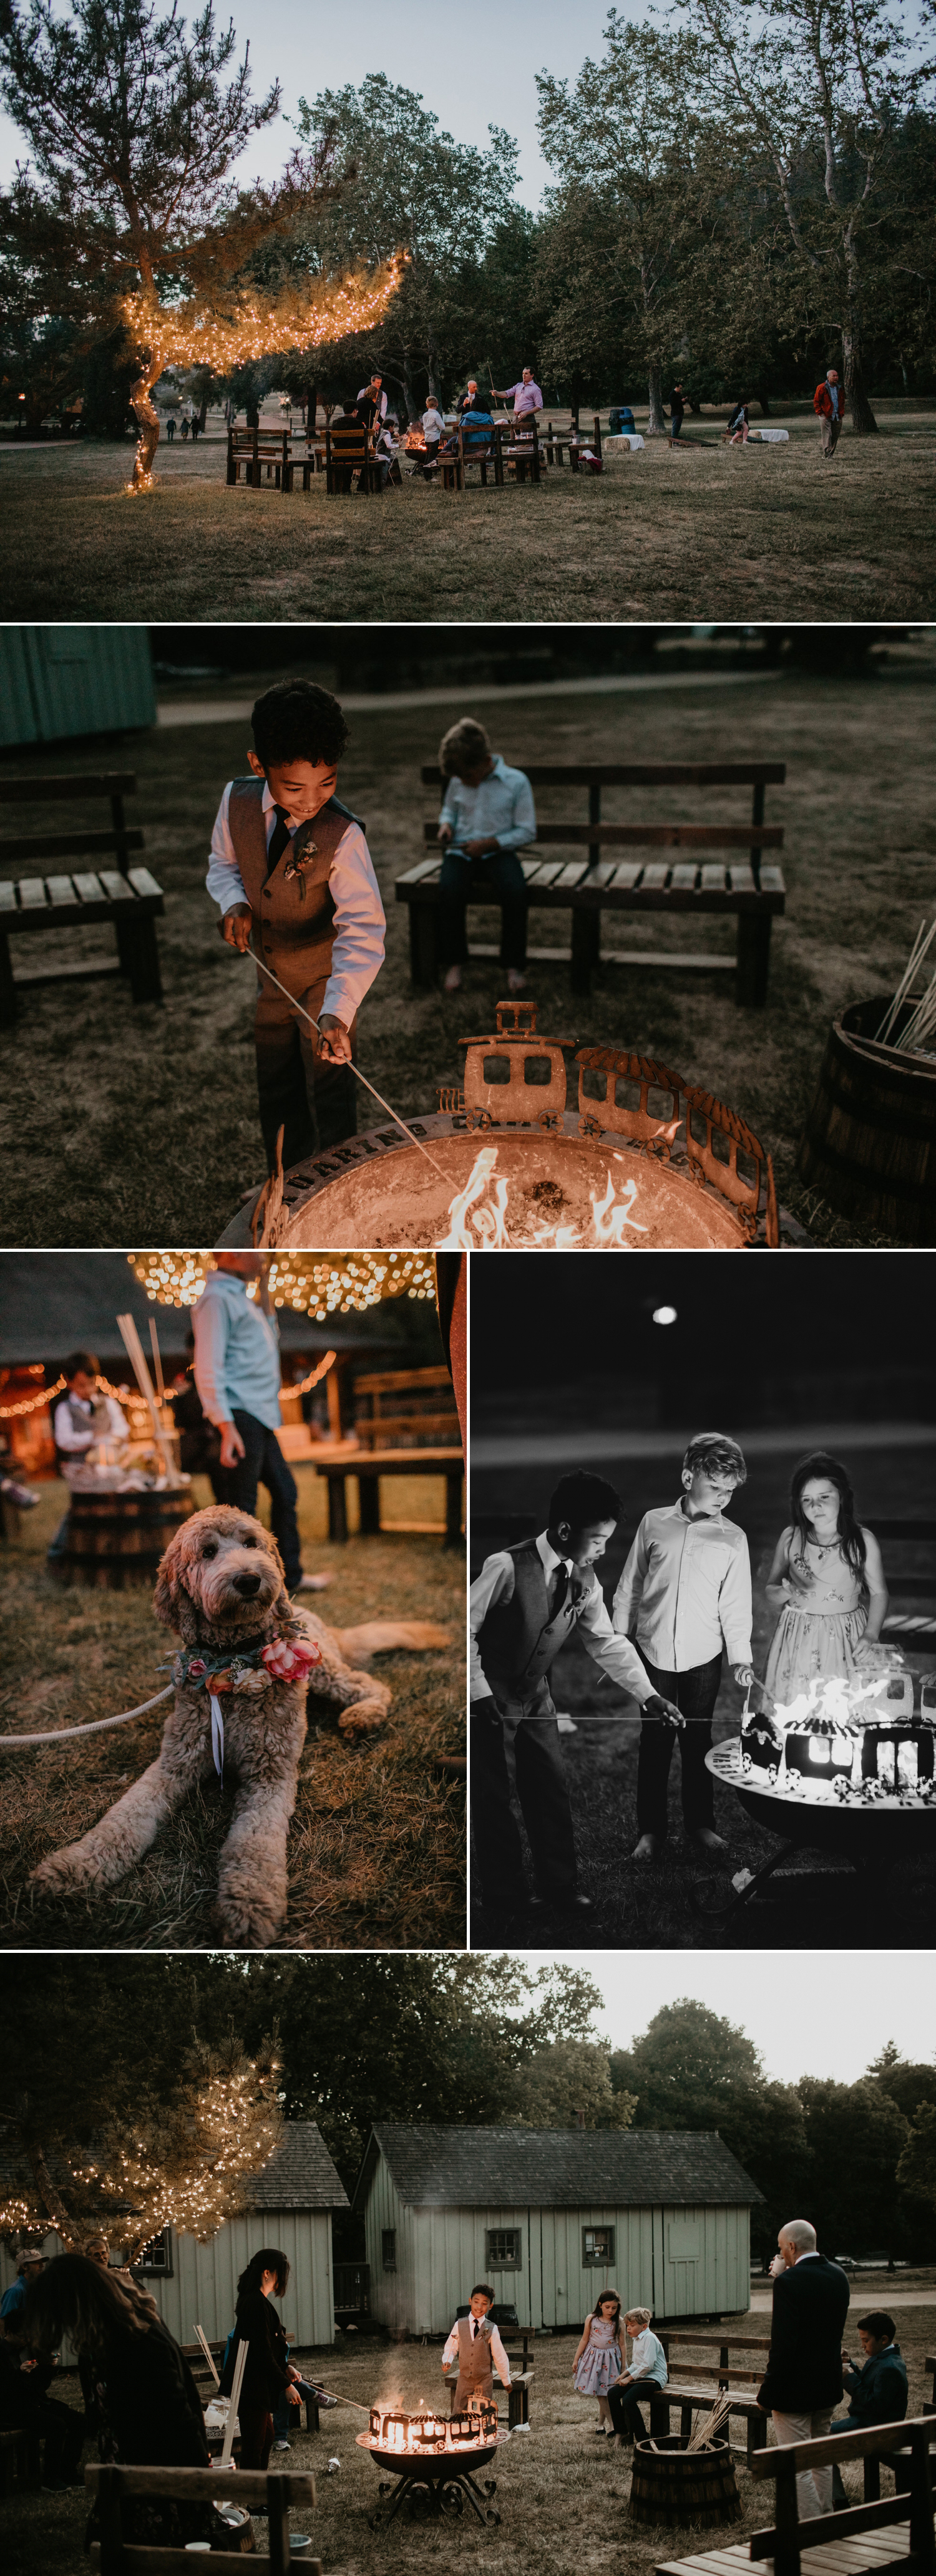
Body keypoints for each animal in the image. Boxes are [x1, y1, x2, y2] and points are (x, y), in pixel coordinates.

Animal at [32, 1504, 451, 1937]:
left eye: (251, 1543)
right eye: (207, 1552)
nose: (249, 1579)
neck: (233, 1664)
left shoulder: (270, 1773)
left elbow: (254, 1842)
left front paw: (249, 1901)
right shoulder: (174, 1763)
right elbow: (124, 1816)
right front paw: (77, 1865)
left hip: (322, 1669)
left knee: (369, 1684)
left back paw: (364, 1715)